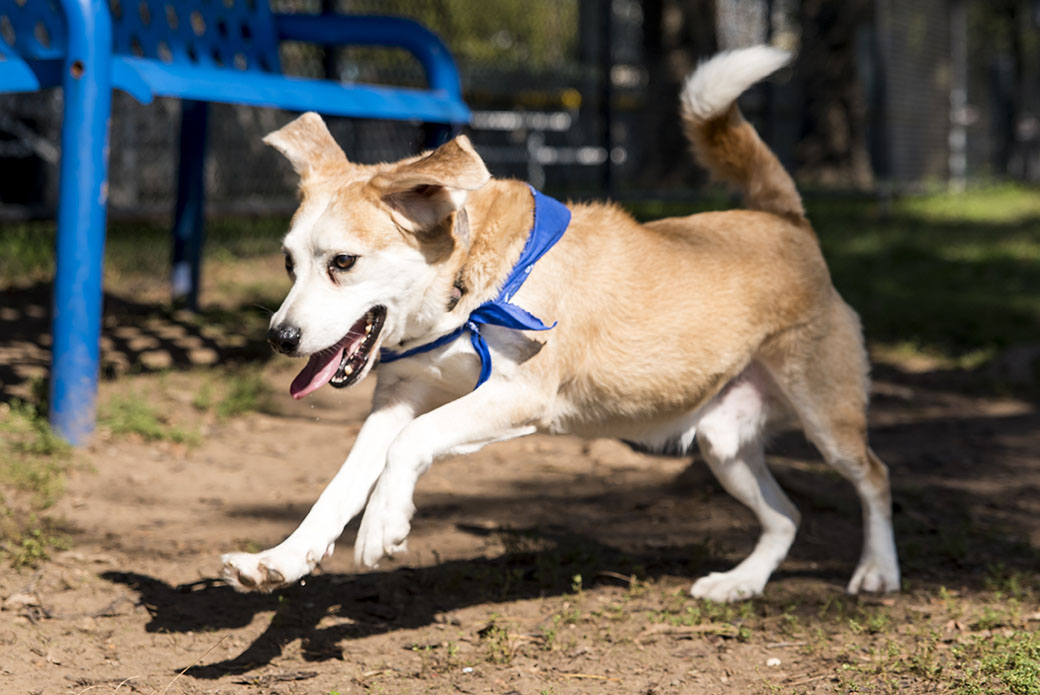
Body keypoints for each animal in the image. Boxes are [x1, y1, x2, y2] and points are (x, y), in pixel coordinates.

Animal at [221, 47, 902, 603]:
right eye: (289, 262)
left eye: (343, 262)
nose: (279, 338)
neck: (469, 290)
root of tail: (783, 220)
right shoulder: (399, 395)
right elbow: (346, 480)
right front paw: (280, 560)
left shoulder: (521, 396)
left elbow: (412, 443)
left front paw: (383, 525)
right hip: (723, 444)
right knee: (786, 517)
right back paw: (741, 582)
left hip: (826, 416)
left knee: (874, 476)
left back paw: (877, 571)